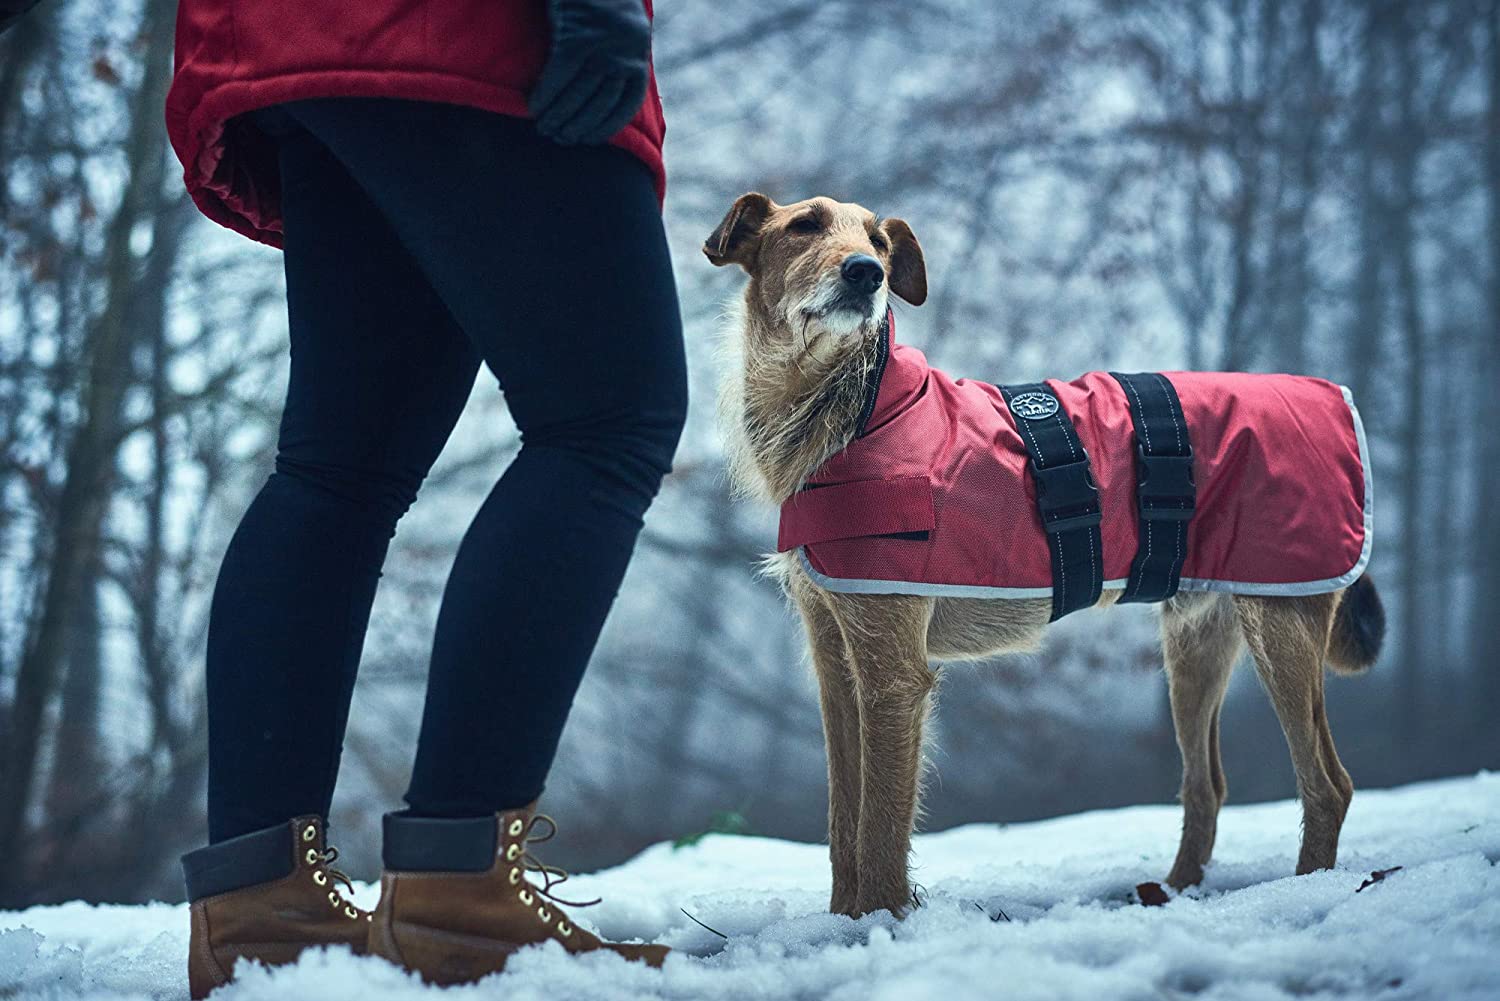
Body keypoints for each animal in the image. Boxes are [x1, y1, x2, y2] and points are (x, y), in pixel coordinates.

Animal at [708, 192, 1386, 918]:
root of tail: (1330, 395)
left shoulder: (892, 672)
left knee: (1328, 784)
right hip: (1195, 644)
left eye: (878, 243)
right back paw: (1174, 892)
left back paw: (1306, 888)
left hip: (1281, 626)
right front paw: (842, 923)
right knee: (1207, 786)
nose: (867, 273)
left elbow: (881, 830)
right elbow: (844, 825)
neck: (853, 406)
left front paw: (882, 923)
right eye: (804, 225)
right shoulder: (835, 660)